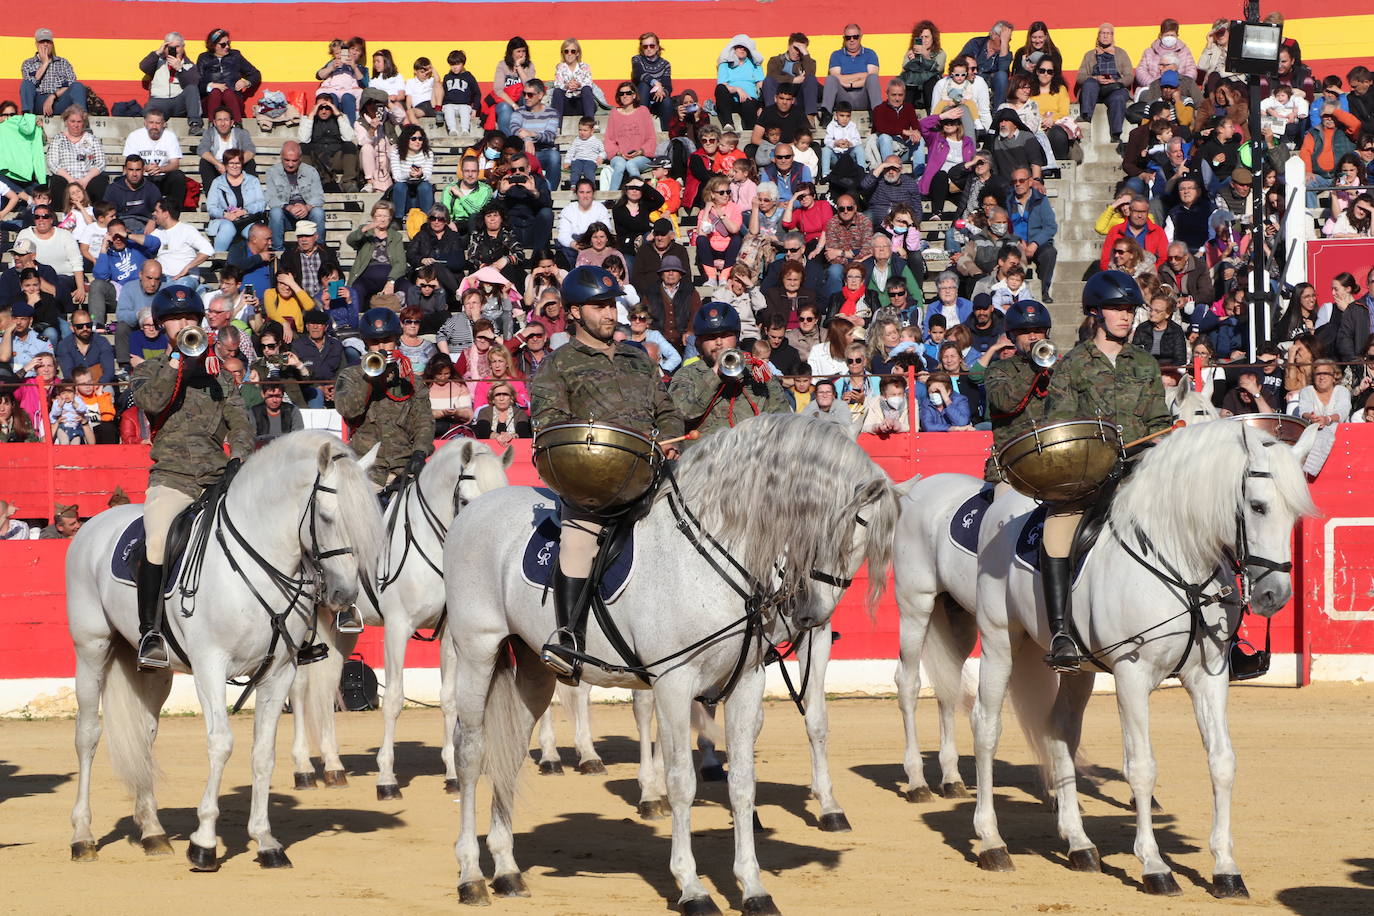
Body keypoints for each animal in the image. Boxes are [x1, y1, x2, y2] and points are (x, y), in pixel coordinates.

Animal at [67, 433, 384, 873]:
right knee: (87, 735)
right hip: (91, 649)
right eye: (326, 516)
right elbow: (221, 743)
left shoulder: (279, 672)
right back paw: (83, 837)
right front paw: (204, 843)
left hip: (153, 671)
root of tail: (94, 524)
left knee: (146, 736)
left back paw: (153, 832)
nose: (344, 594)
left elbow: (263, 754)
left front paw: (266, 842)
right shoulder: (210, 668)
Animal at [287, 436, 513, 796]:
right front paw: (386, 779)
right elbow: (393, 698)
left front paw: (452, 774)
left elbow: (449, 699)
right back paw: (303, 769)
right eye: (465, 500)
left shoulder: (449, 634)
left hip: (338, 630)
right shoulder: (397, 628)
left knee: (327, 685)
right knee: (298, 688)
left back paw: (334, 766)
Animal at [439, 411, 901, 911]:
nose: (810, 614)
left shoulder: (747, 683)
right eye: (846, 522)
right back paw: (470, 875)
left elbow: (743, 782)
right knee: (471, 752)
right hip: (477, 652)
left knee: (509, 751)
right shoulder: (674, 683)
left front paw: (753, 886)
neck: (712, 554)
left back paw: (506, 869)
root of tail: (477, 510)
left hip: (533, 672)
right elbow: (682, 781)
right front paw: (692, 887)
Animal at [972, 420, 1313, 895]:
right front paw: (1154, 866)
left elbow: (1222, 761)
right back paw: (992, 843)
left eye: (1294, 514)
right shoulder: (1131, 675)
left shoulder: (1209, 678)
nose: (1273, 596)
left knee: (1060, 731)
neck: (1180, 562)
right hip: (999, 643)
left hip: (1078, 669)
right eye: (1258, 506)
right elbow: (1142, 767)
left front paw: (1226, 868)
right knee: (986, 728)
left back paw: (1079, 845)